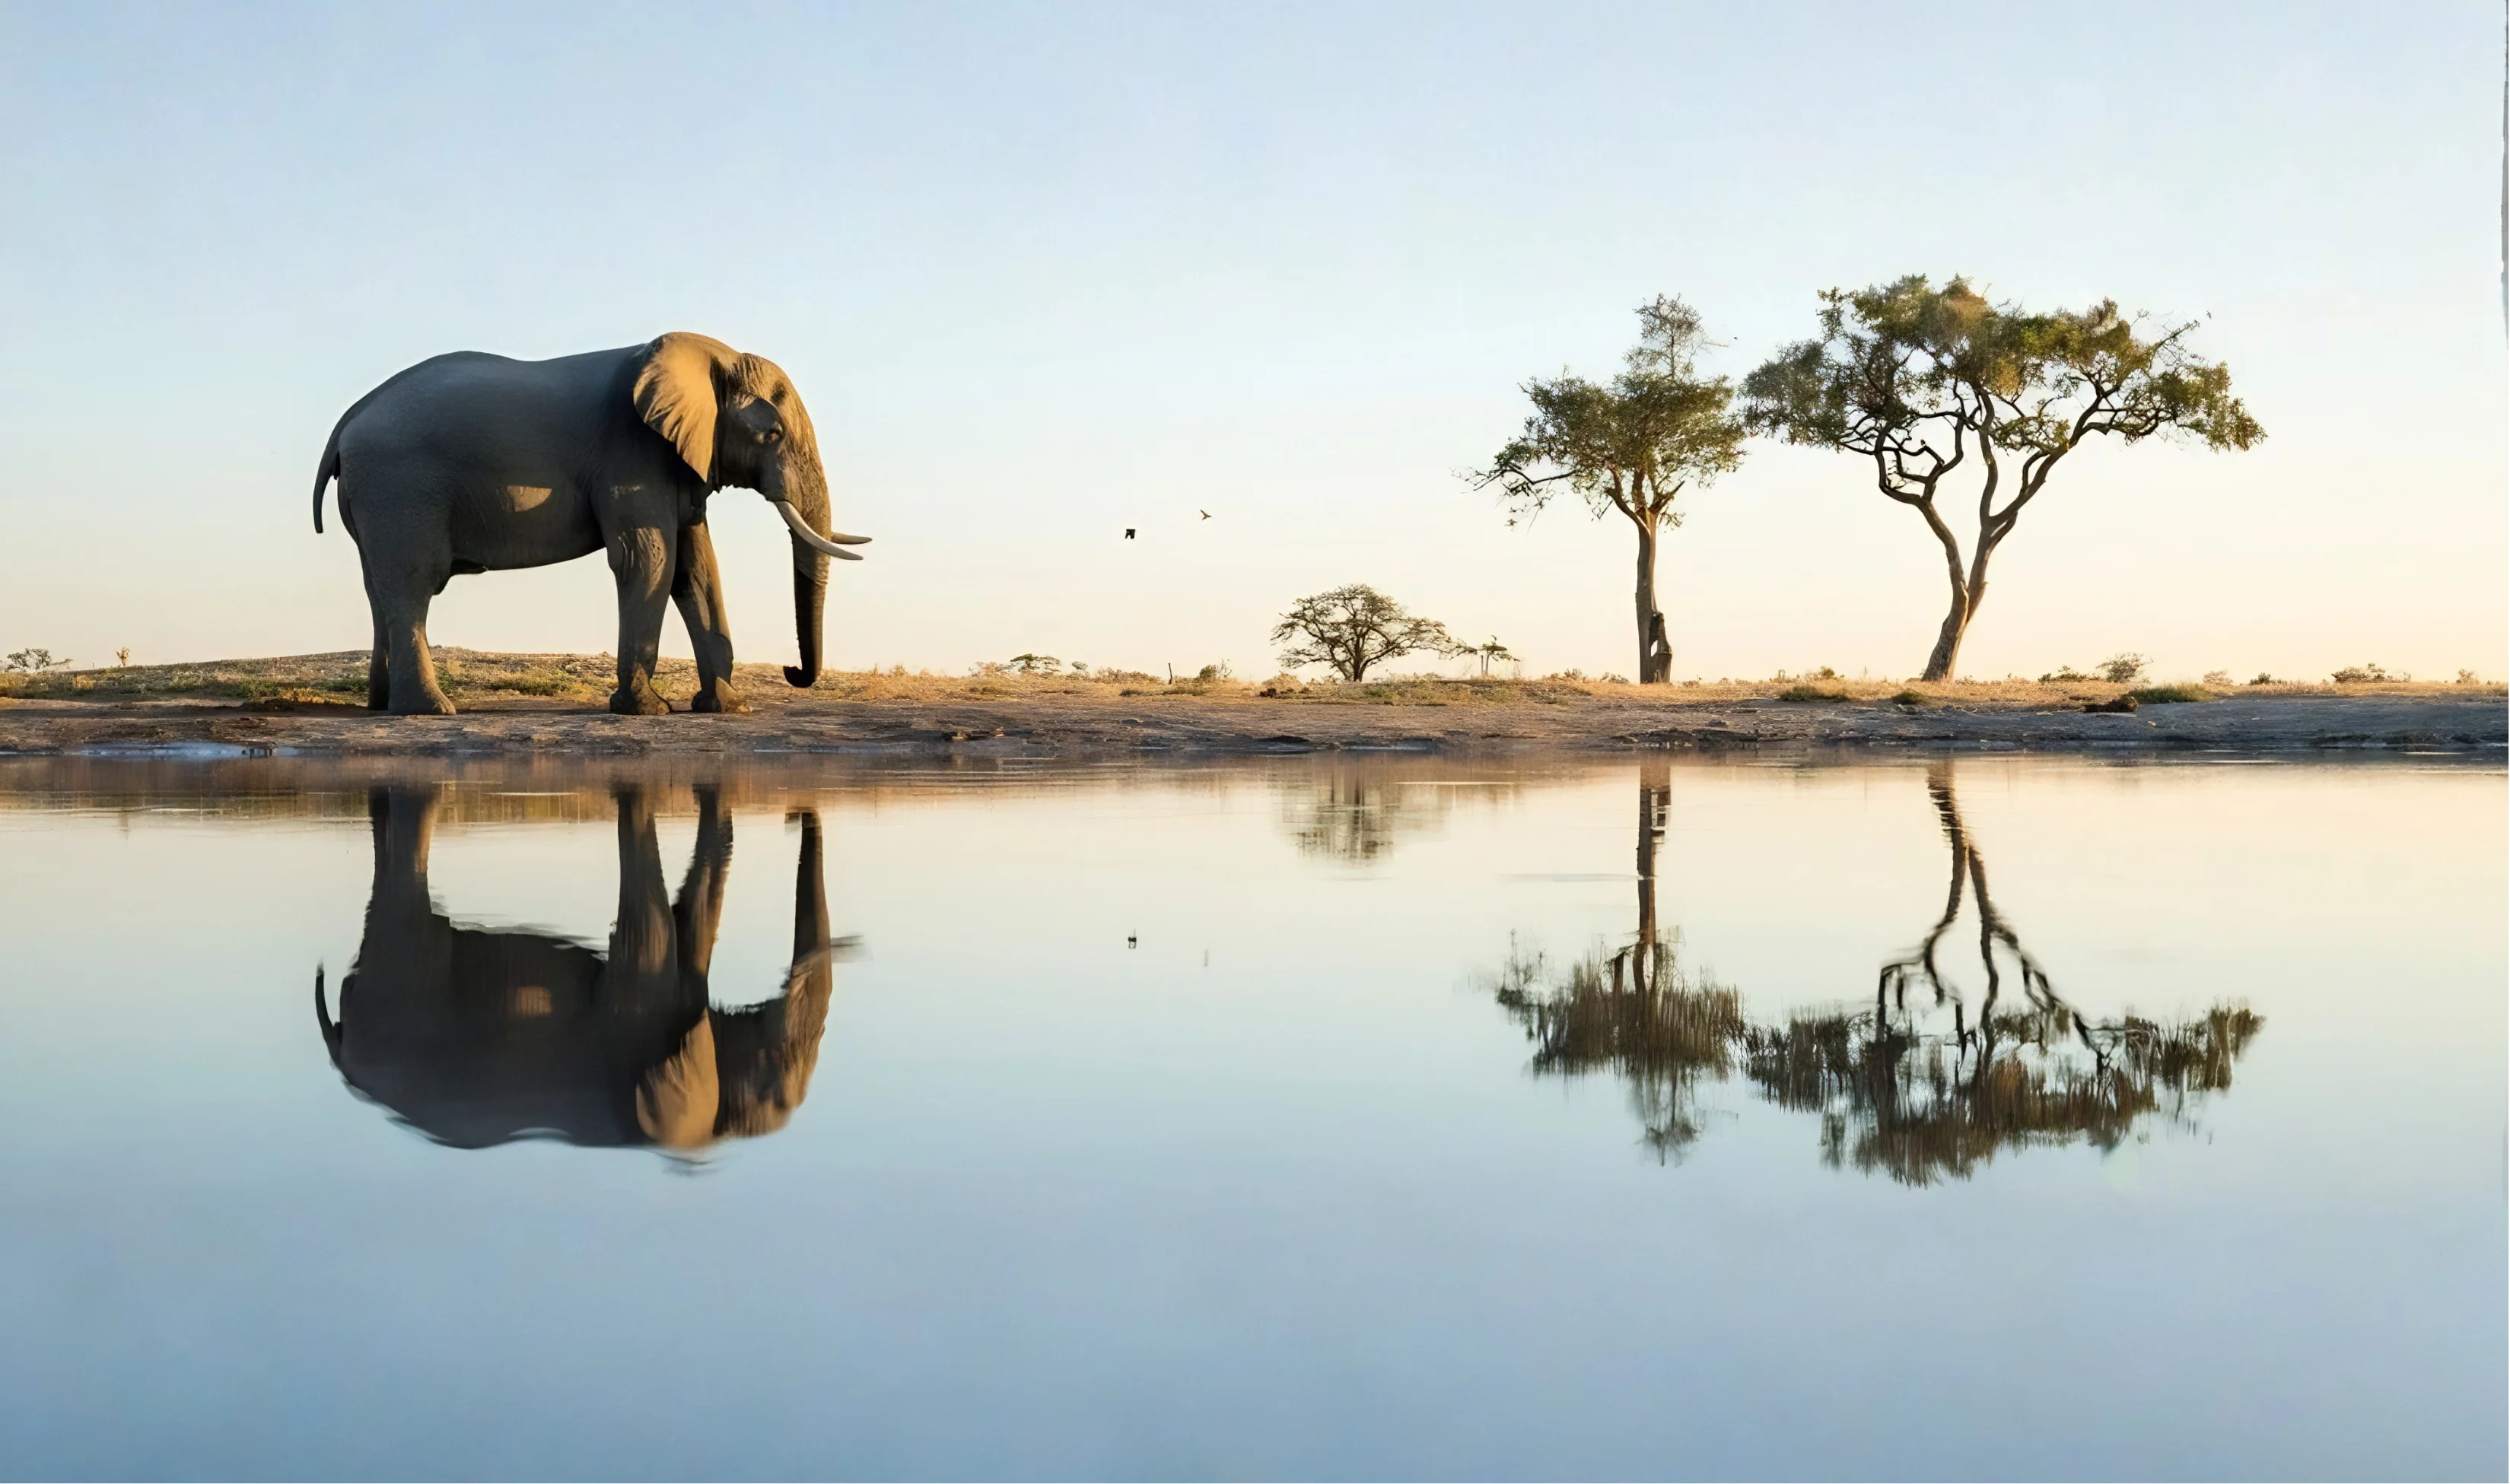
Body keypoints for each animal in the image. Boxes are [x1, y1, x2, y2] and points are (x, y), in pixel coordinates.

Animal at [311, 333, 870, 716]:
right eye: (772, 434)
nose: (792, 671)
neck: (712, 355)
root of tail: (348, 420)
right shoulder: (631, 455)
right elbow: (650, 557)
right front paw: (645, 711)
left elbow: (696, 567)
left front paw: (727, 708)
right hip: (400, 486)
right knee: (413, 584)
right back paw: (430, 711)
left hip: (376, 495)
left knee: (379, 588)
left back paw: (382, 706)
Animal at [314, 783, 847, 1153]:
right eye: (774, 1092)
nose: (793, 816)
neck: (706, 1141)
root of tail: (341, 1056)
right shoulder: (633, 1018)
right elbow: (655, 929)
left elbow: (693, 926)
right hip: (401, 990)